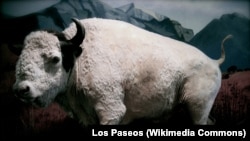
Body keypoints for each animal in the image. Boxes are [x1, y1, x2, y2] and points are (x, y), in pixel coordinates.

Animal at [12, 17, 231, 124]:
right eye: (20, 59)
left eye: (55, 58)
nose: (22, 89)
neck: (81, 56)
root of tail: (214, 62)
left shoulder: (111, 111)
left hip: (197, 109)